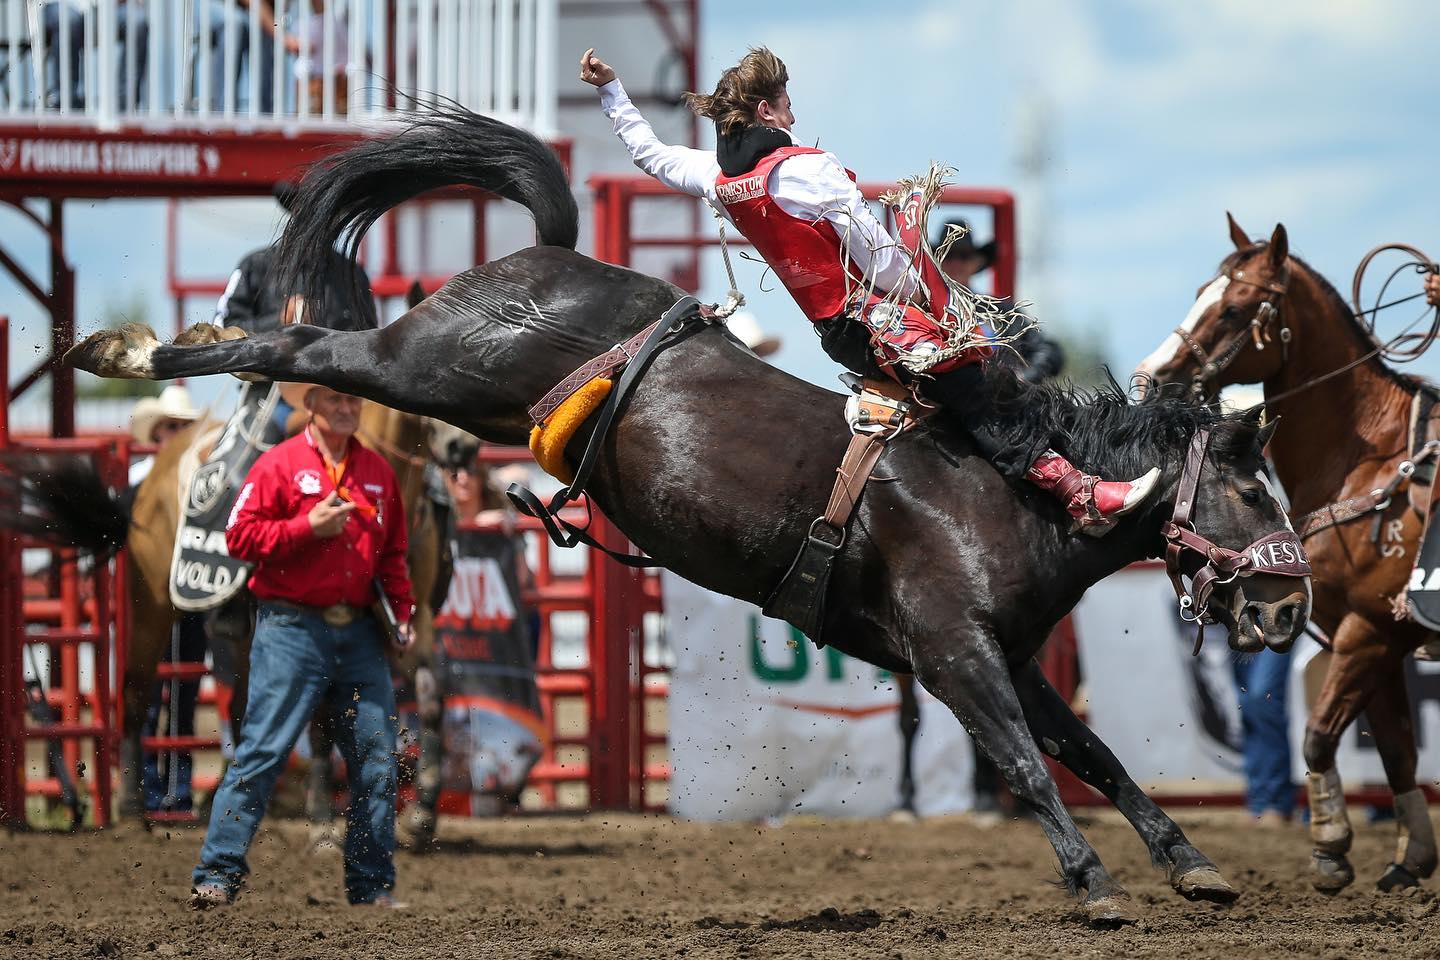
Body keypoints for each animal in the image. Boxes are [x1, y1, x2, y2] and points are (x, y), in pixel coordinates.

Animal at [61, 101, 1313, 926]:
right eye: (1253, 486)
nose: (1288, 605)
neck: (1003, 491)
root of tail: (552, 258)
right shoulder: (954, 653)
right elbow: (1020, 757)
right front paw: (1093, 884)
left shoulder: (1009, 655)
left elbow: (1091, 751)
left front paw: (1189, 861)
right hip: (426, 368)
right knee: (306, 347)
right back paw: (131, 350)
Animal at [1140, 215, 1434, 892]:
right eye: (1201, 290)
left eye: (1234, 308)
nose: (1153, 376)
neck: (1370, 462)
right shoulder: (1376, 634)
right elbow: (1397, 750)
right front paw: (1410, 860)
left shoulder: (1370, 630)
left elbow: (1320, 736)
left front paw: (1330, 847)